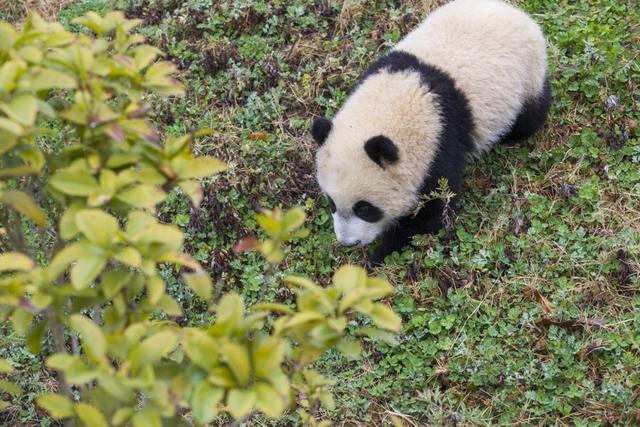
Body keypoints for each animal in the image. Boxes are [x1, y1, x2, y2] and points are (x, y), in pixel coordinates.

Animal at [310, 0, 552, 266]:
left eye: (364, 209)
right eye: (331, 202)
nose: (348, 242)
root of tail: (516, 12)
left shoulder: (440, 142)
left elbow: (435, 209)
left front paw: (380, 255)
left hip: (528, 74)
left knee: (531, 115)